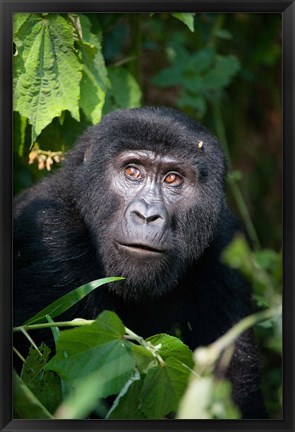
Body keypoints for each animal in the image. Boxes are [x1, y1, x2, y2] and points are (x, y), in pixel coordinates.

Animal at [13, 107, 268, 418]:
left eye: (172, 179)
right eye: (132, 171)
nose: (147, 215)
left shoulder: (225, 243)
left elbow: (233, 383)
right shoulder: (50, 234)